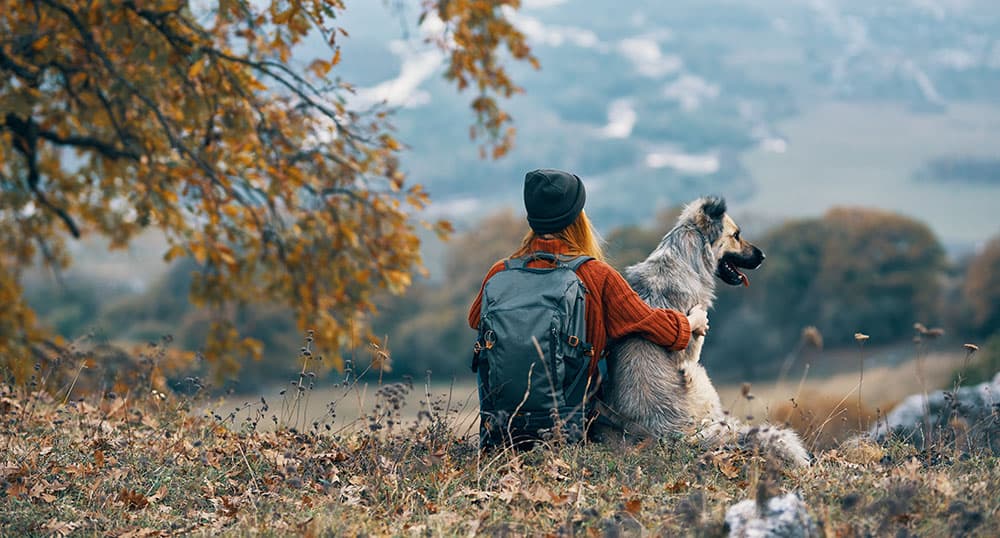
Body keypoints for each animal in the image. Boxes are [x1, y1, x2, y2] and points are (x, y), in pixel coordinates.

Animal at [596, 196, 808, 464]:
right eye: (736, 235)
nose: (763, 256)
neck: (685, 259)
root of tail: (668, 432)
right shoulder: (693, 351)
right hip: (699, 374)